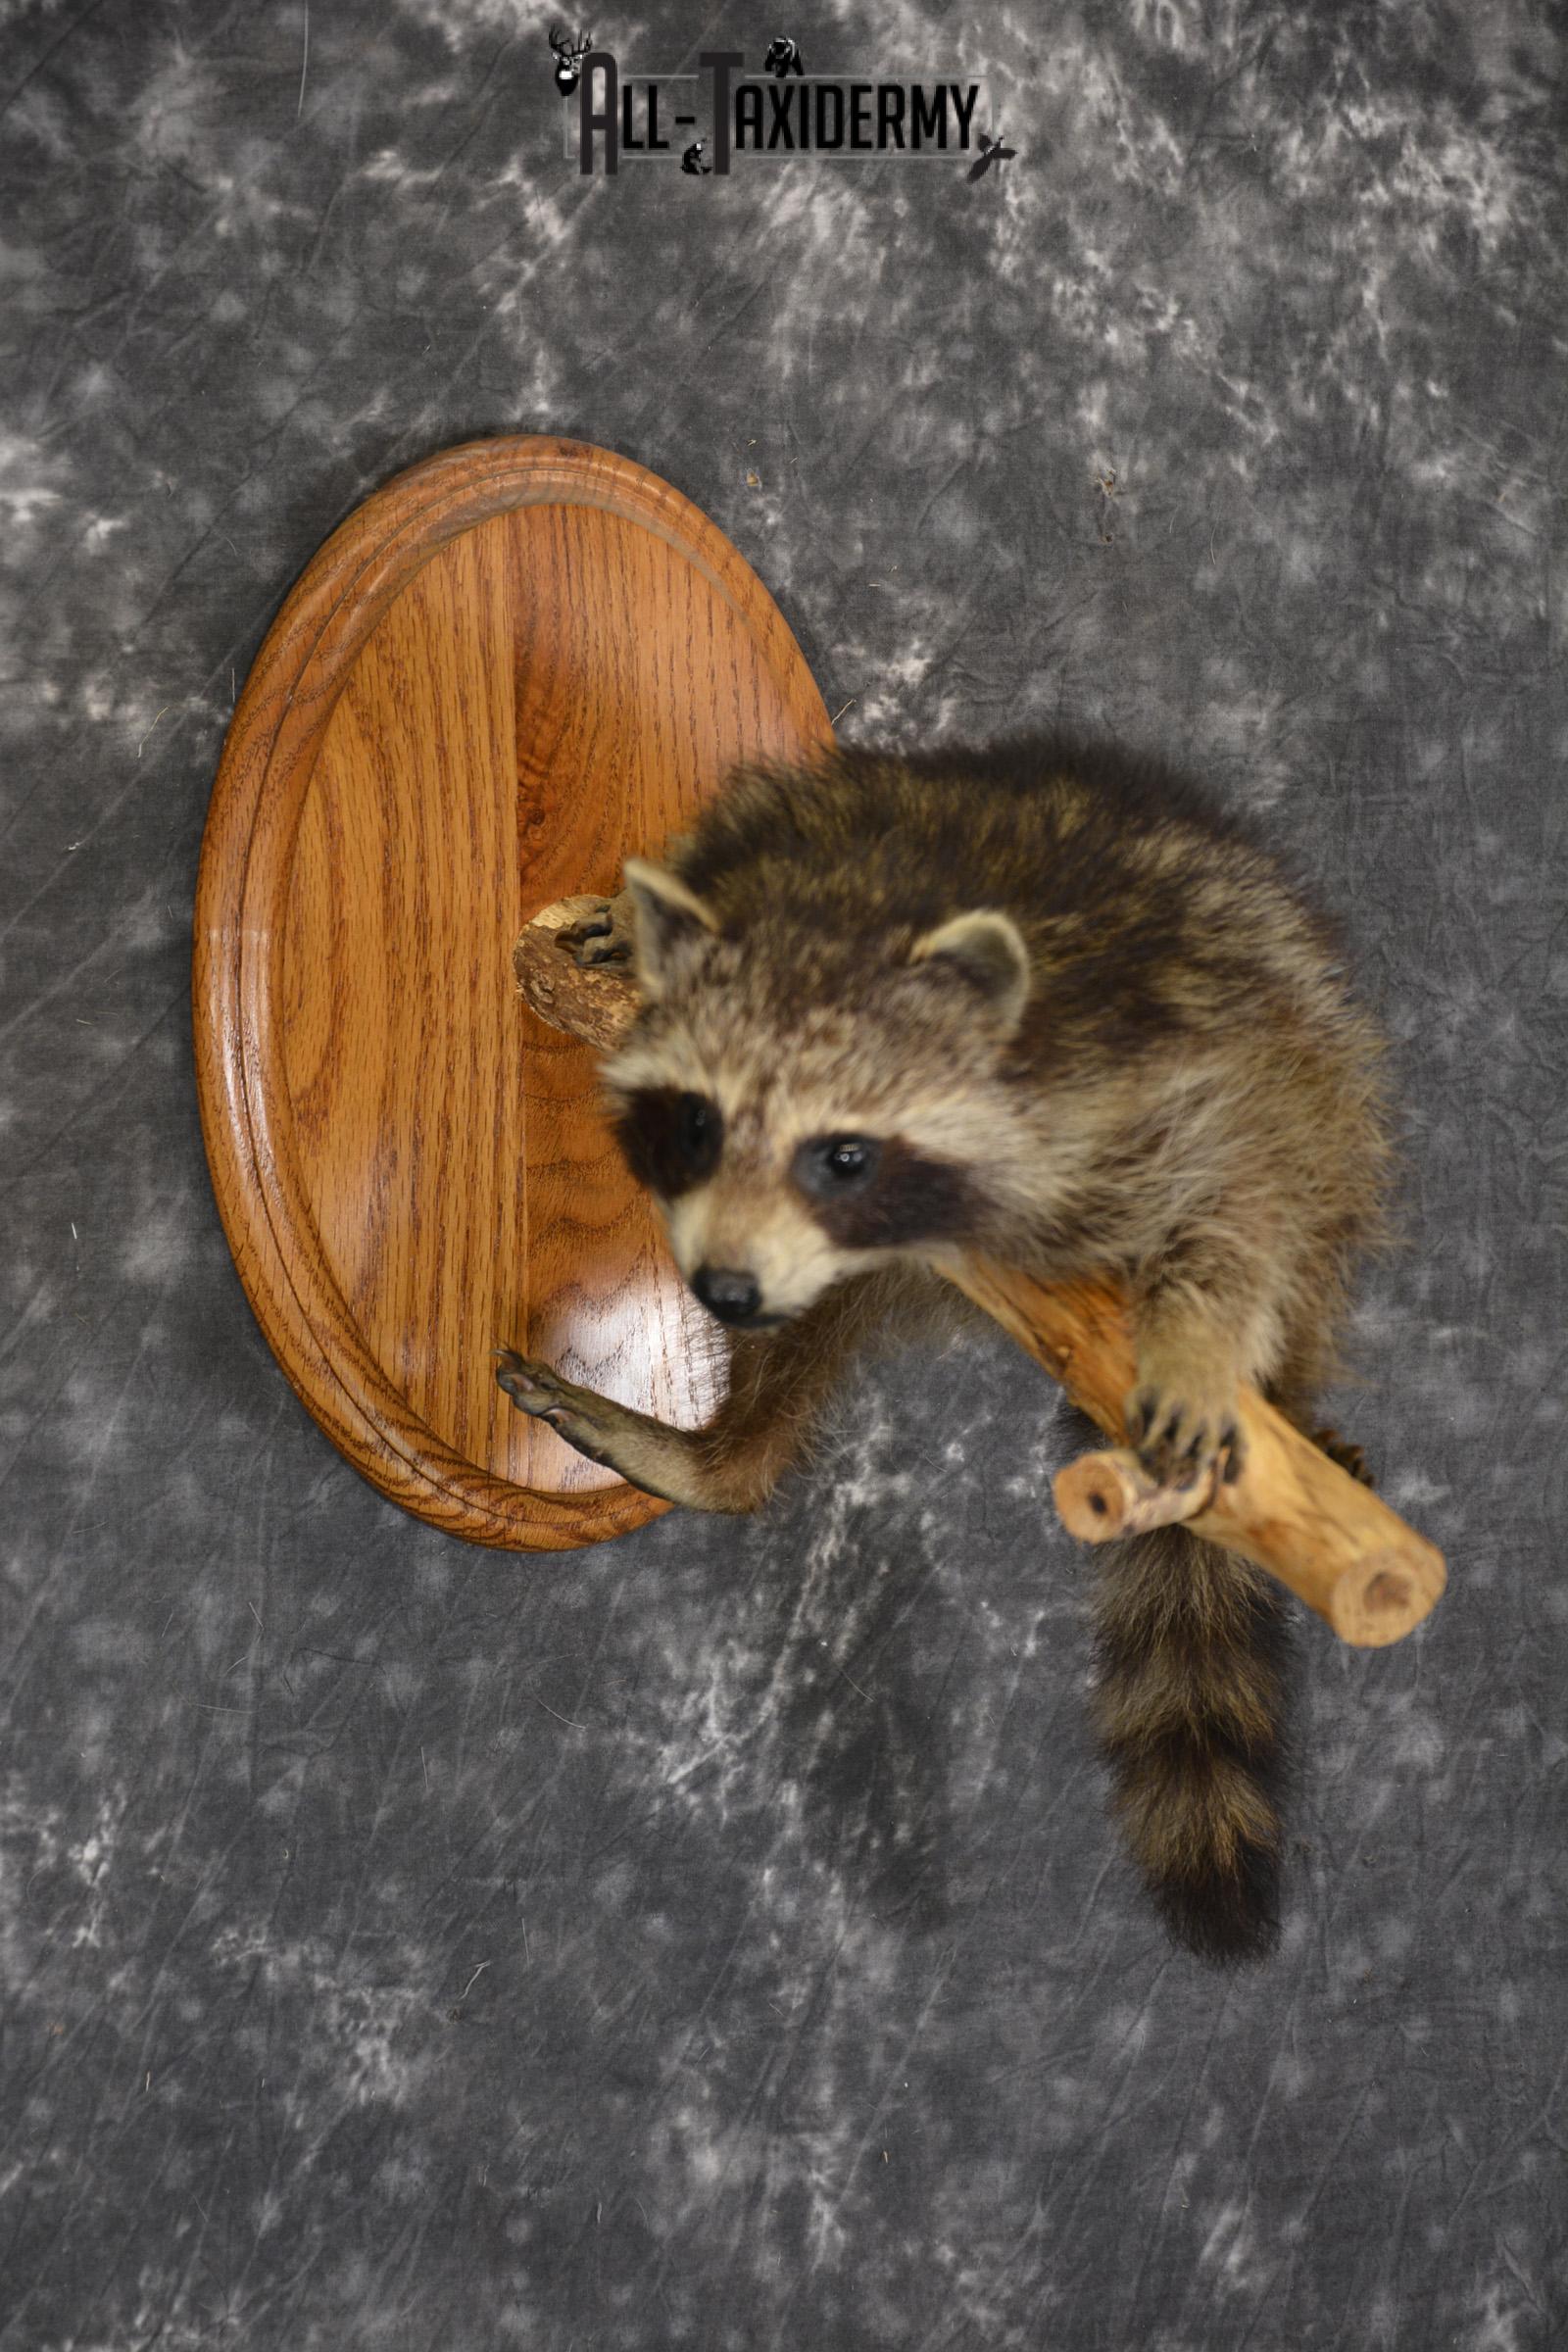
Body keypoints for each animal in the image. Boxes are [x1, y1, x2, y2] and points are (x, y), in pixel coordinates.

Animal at [496, 737, 1394, 1964]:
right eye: (698, 1124)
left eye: (843, 1155)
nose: (726, 1287)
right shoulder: (782, 830)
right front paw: (629, 926)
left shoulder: (1153, 1060)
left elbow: (1241, 1187)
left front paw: (1202, 1339)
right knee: (809, 1338)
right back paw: (727, 1457)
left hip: (1326, 1092)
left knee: (1300, 1192)